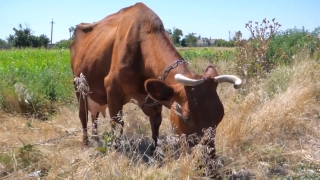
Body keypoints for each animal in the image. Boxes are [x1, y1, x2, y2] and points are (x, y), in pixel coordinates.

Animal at [69, 2, 240, 156]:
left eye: (220, 116)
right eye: (187, 117)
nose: (207, 158)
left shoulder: (153, 98)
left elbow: (156, 122)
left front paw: (154, 150)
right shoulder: (112, 90)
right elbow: (117, 122)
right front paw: (116, 149)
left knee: (94, 115)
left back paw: (96, 137)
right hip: (78, 87)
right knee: (83, 115)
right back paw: (86, 142)